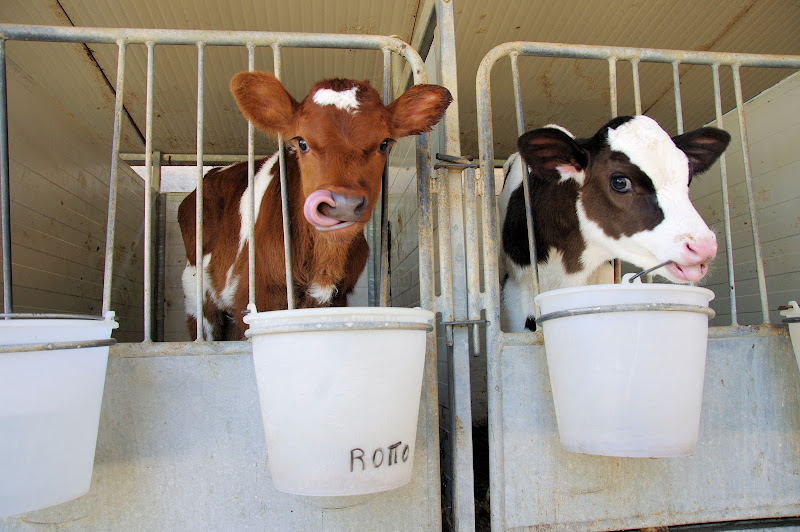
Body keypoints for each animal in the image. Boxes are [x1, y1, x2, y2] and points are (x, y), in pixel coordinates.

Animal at [180, 72, 450, 338]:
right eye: (302, 142)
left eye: (384, 143)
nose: (343, 204)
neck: (323, 264)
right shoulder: (256, 296)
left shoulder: (339, 297)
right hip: (196, 292)